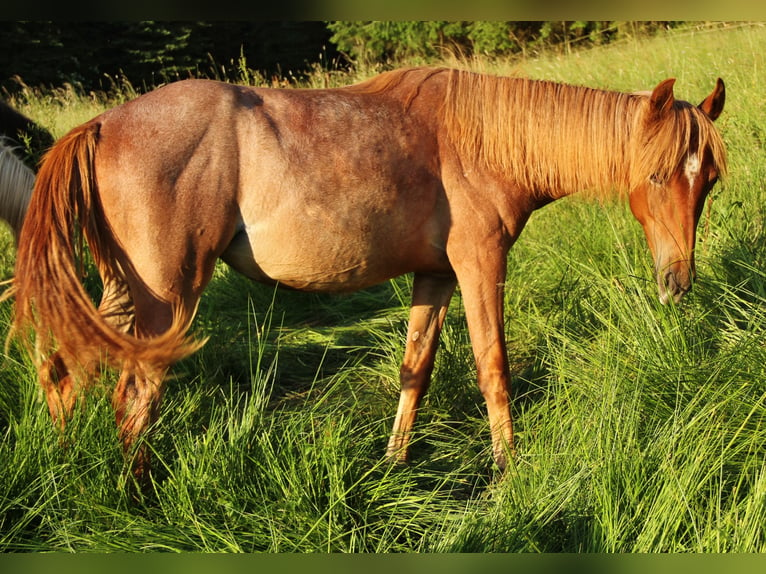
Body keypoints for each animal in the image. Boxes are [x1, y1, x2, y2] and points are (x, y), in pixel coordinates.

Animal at [12, 66, 728, 482]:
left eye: (709, 180)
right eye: (658, 173)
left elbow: (416, 367)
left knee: (63, 370)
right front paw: (507, 469)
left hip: (119, 295)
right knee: (132, 398)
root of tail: (102, 123)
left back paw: (69, 464)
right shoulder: (480, 265)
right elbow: (493, 367)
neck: (484, 138)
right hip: (166, 299)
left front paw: (393, 462)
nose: (677, 281)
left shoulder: (436, 277)